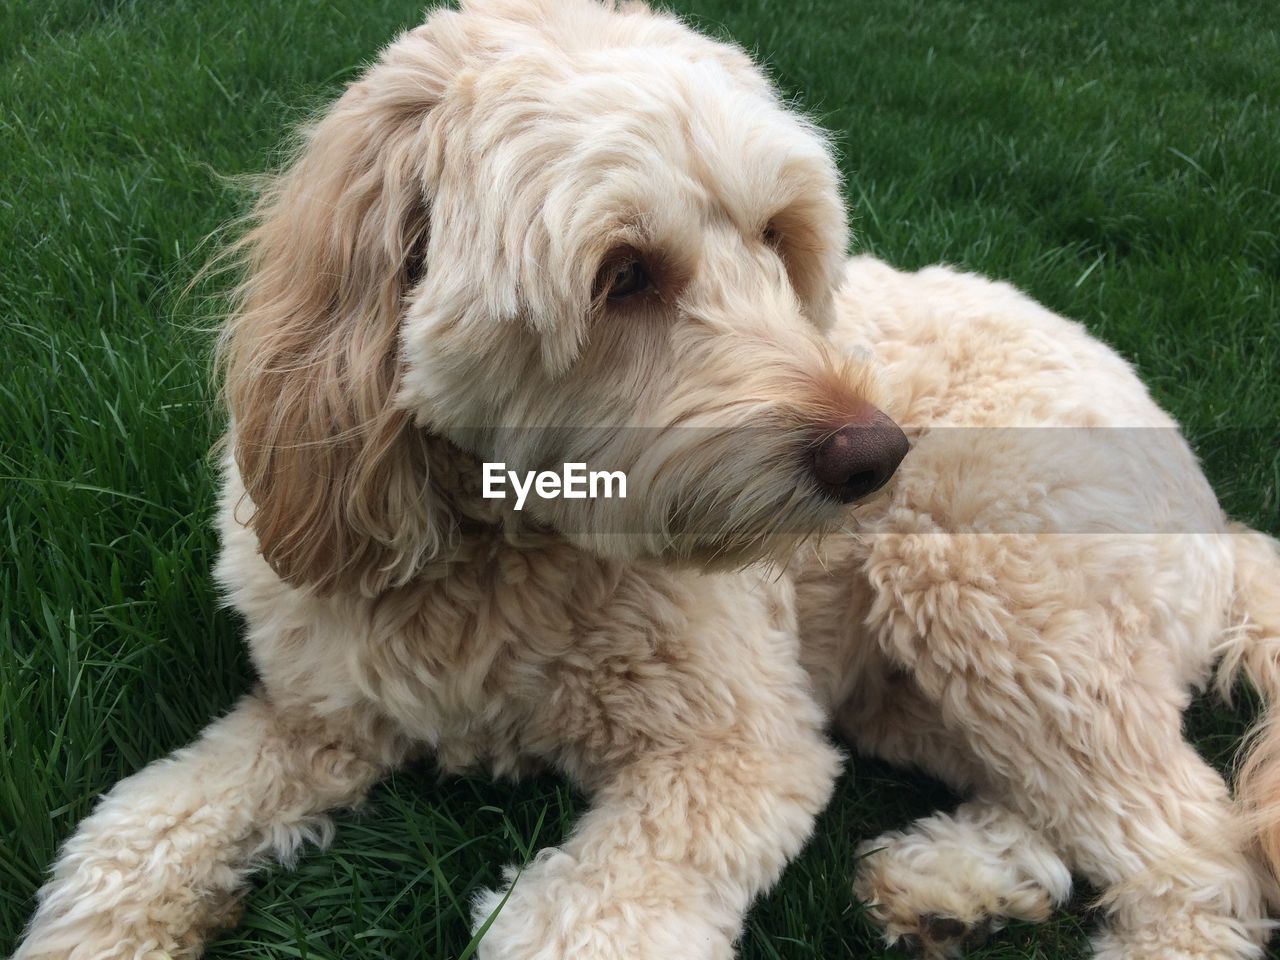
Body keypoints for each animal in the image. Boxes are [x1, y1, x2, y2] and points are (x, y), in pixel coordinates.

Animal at [15, 1, 1280, 960]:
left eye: (777, 236)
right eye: (621, 275)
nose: (873, 456)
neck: (499, 550)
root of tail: (1219, 521)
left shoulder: (738, 747)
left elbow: (573, 922)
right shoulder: (315, 711)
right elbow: (138, 828)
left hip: (985, 583)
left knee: (1191, 843)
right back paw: (957, 881)